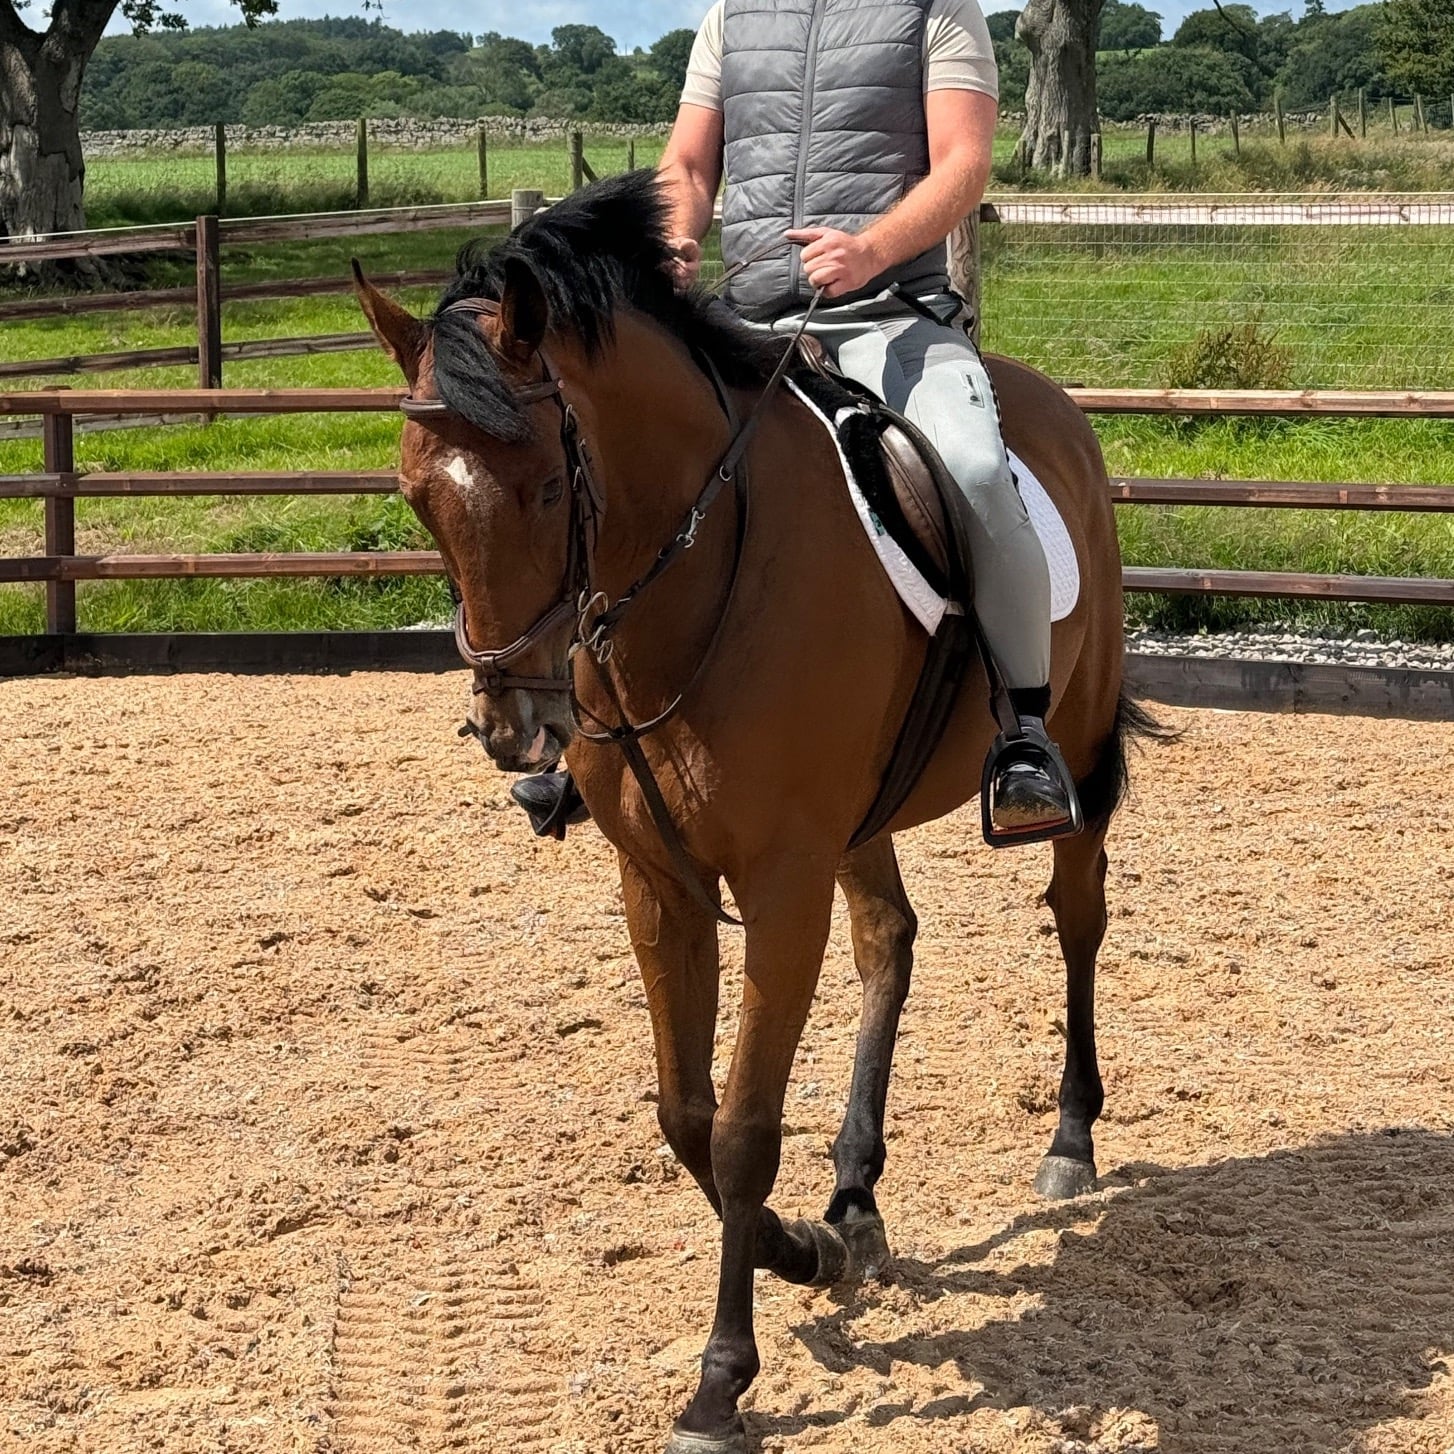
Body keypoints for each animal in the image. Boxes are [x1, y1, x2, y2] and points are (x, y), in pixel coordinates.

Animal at [355, 171, 1157, 1454]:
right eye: (414, 495)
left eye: (546, 482)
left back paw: (1068, 1138)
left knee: (1075, 919)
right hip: (860, 822)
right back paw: (854, 1196)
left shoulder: (778, 887)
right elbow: (684, 1112)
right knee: (890, 943)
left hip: (1067, 757)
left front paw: (720, 1378)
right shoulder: (659, 882)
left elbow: (739, 1126)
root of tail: (1049, 408)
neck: (690, 582)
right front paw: (804, 1246)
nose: (512, 728)